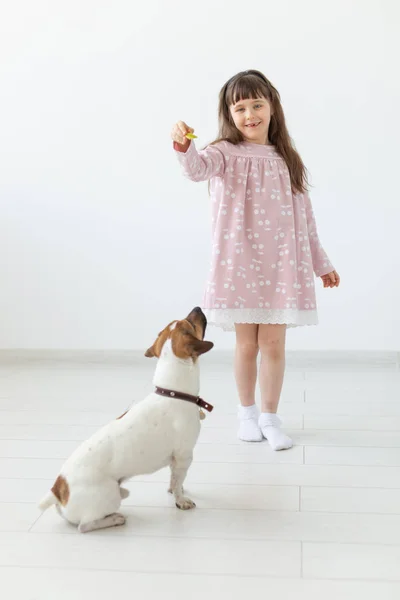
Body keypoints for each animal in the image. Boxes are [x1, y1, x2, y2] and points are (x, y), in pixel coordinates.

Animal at [38, 308, 212, 532]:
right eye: (190, 322)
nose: (197, 308)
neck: (173, 393)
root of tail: (58, 489)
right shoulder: (184, 456)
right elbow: (178, 480)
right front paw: (180, 500)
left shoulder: (176, 460)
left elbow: (174, 479)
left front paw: (175, 489)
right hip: (110, 494)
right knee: (84, 526)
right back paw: (115, 519)